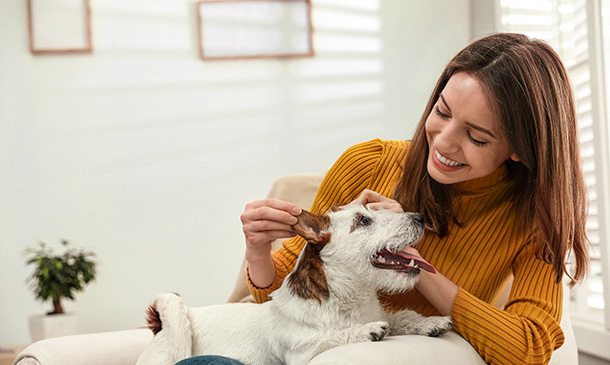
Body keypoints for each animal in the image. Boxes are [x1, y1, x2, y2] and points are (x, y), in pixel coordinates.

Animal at [138, 203, 452, 362]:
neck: (347, 300)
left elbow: (401, 316)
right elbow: (332, 337)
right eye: (363, 220)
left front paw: (429, 321)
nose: (420, 217)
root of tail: (159, 324)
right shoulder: (303, 354)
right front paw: (367, 331)